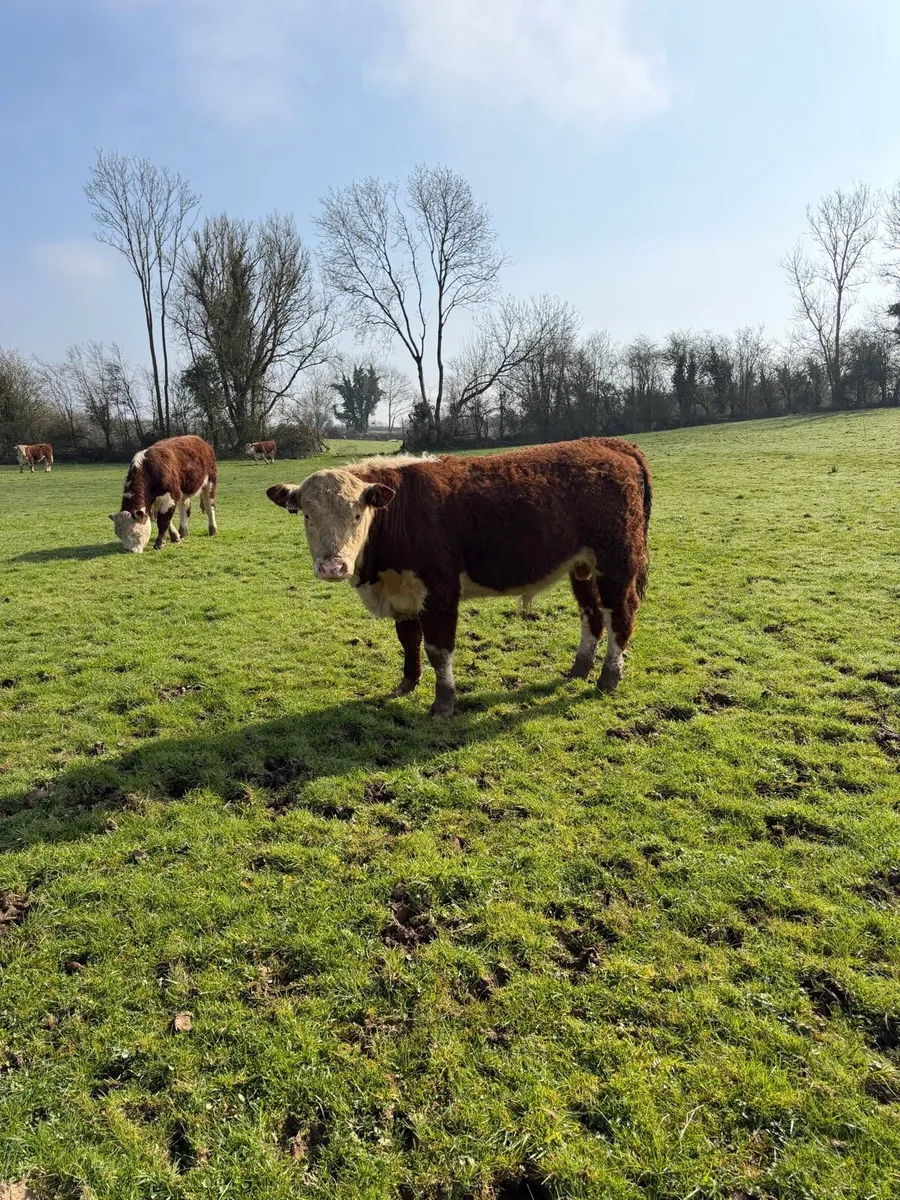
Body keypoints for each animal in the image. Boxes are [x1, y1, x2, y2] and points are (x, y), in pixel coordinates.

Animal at [266, 438, 652, 717]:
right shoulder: (404, 595)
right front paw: (407, 684)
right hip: (582, 567)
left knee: (620, 614)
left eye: (358, 514)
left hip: (616, 562)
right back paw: (579, 669)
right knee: (592, 614)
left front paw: (443, 703)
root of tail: (607, 443)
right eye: (307, 515)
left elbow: (438, 650)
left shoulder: (439, 592)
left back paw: (608, 678)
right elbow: (409, 641)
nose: (332, 567)